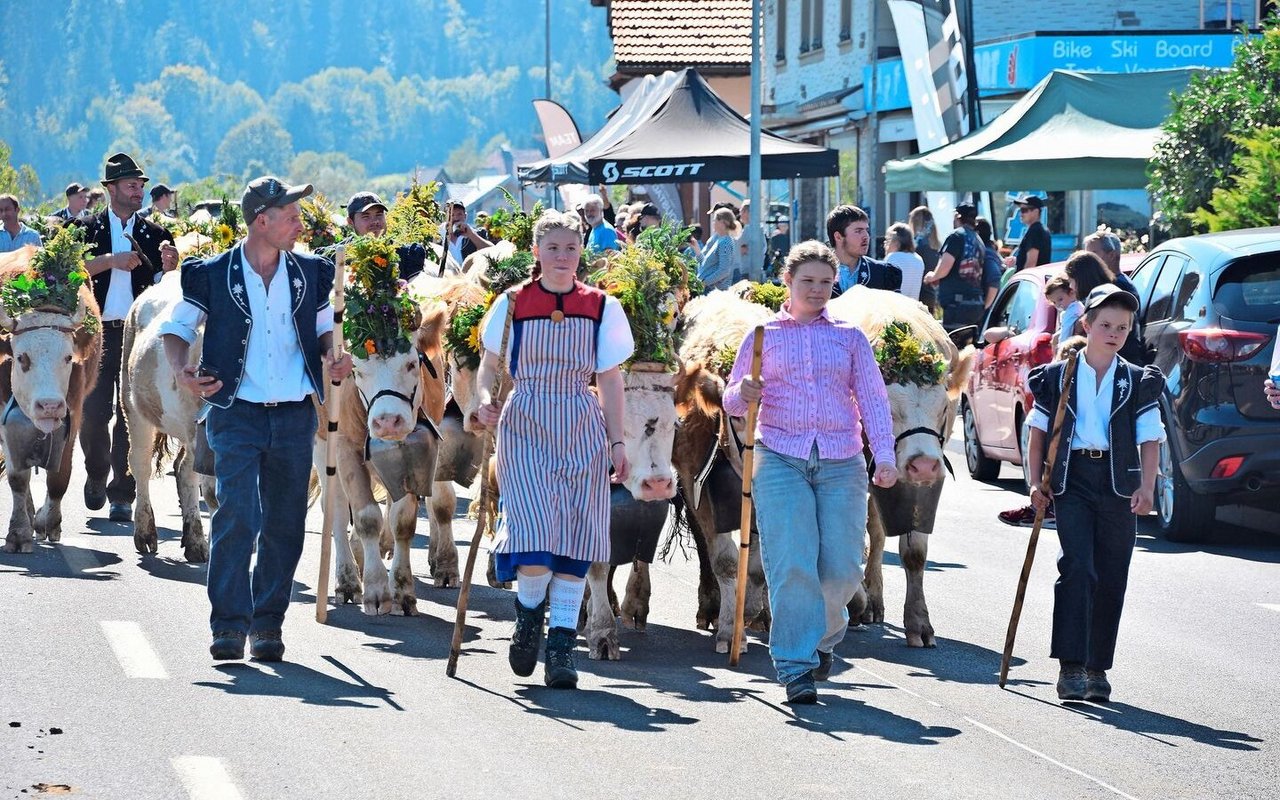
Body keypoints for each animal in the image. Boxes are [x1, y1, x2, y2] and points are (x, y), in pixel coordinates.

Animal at [0, 229, 102, 547]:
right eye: (21, 357)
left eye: (68, 357)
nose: (49, 406)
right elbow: (17, 476)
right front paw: (19, 532)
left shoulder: (73, 410)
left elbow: (60, 476)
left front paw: (50, 523)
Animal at [824, 286, 972, 650]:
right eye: (886, 410)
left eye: (944, 409)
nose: (924, 465)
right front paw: (854, 600)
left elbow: (914, 551)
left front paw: (919, 622)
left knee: (876, 532)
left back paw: (874, 601)